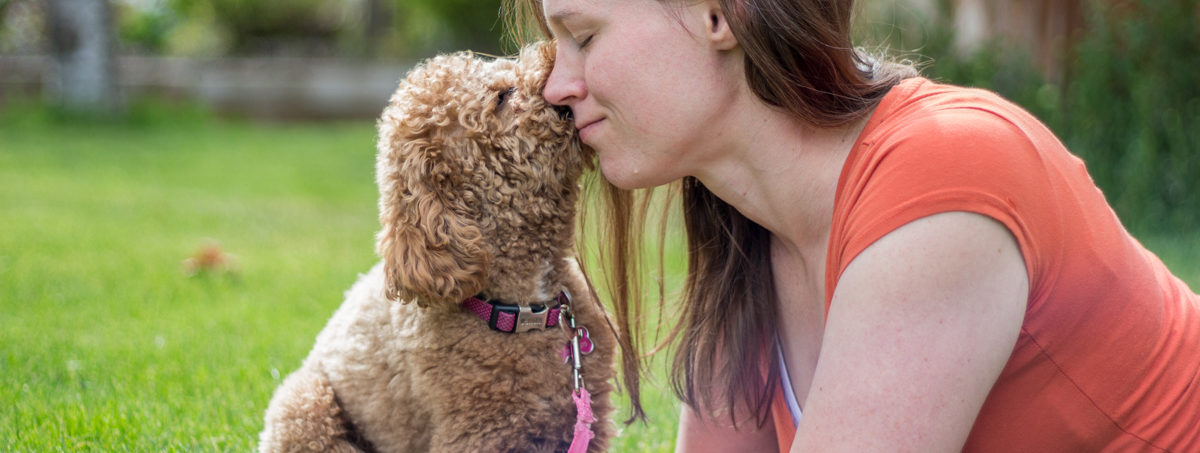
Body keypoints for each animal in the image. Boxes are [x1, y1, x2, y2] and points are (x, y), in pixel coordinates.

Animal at [261, 42, 619, 452]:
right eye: (502, 96)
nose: (552, 52)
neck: (523, 311)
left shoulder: (586, 423)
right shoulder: (476, 434)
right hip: (303, 407)